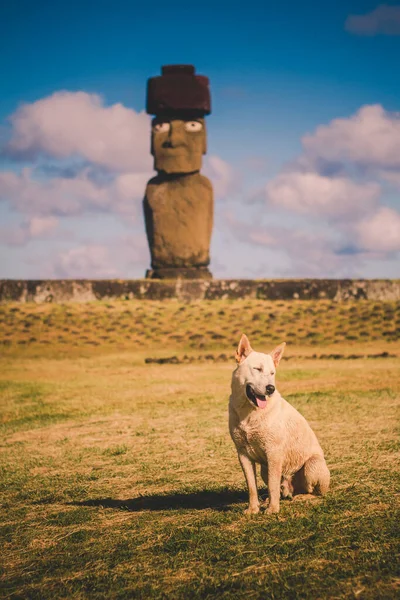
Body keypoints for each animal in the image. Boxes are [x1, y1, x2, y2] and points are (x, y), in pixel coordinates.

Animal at [230, 336, 330, 512]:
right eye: (257, 369)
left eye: (272, 373)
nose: (271, 388)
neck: (249, 412)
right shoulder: (242, 454)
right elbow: (252, 486)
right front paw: (253, 509)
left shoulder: (273, 453)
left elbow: (272, 485)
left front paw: (272, 509)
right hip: (265, 469)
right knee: (283, 489)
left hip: (312, 464)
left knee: (314, 492)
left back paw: (302, 497)